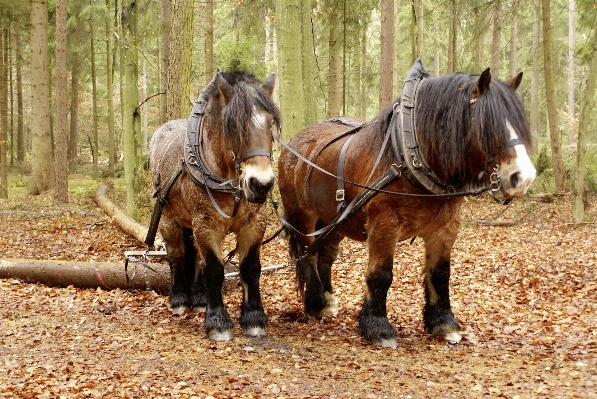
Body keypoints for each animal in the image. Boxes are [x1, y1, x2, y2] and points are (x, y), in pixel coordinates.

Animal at [149, 71, 280, 340]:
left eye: (271, 122)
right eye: (233, 125)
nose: (261, 184)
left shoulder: (254, 224)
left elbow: (250, 268)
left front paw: (253, 318)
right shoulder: (206, 225)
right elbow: (214, 270)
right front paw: (218, 321)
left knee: (195, 256)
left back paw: (199, 298)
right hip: (168, 218)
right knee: (176, 254)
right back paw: (179, 299)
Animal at [278, 58, 536, 346]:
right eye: (488, 125)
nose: (523, 177)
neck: (406, 154)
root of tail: (294, 142)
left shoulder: (445, 228)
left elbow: (440, 274)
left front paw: (443, 323)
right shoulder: (384, 224)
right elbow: (381, 274)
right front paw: (378, 327)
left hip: (334, 220)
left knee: (326, 255)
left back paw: (327, 299)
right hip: (302, 215)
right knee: (307, 253)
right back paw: (314, 303)